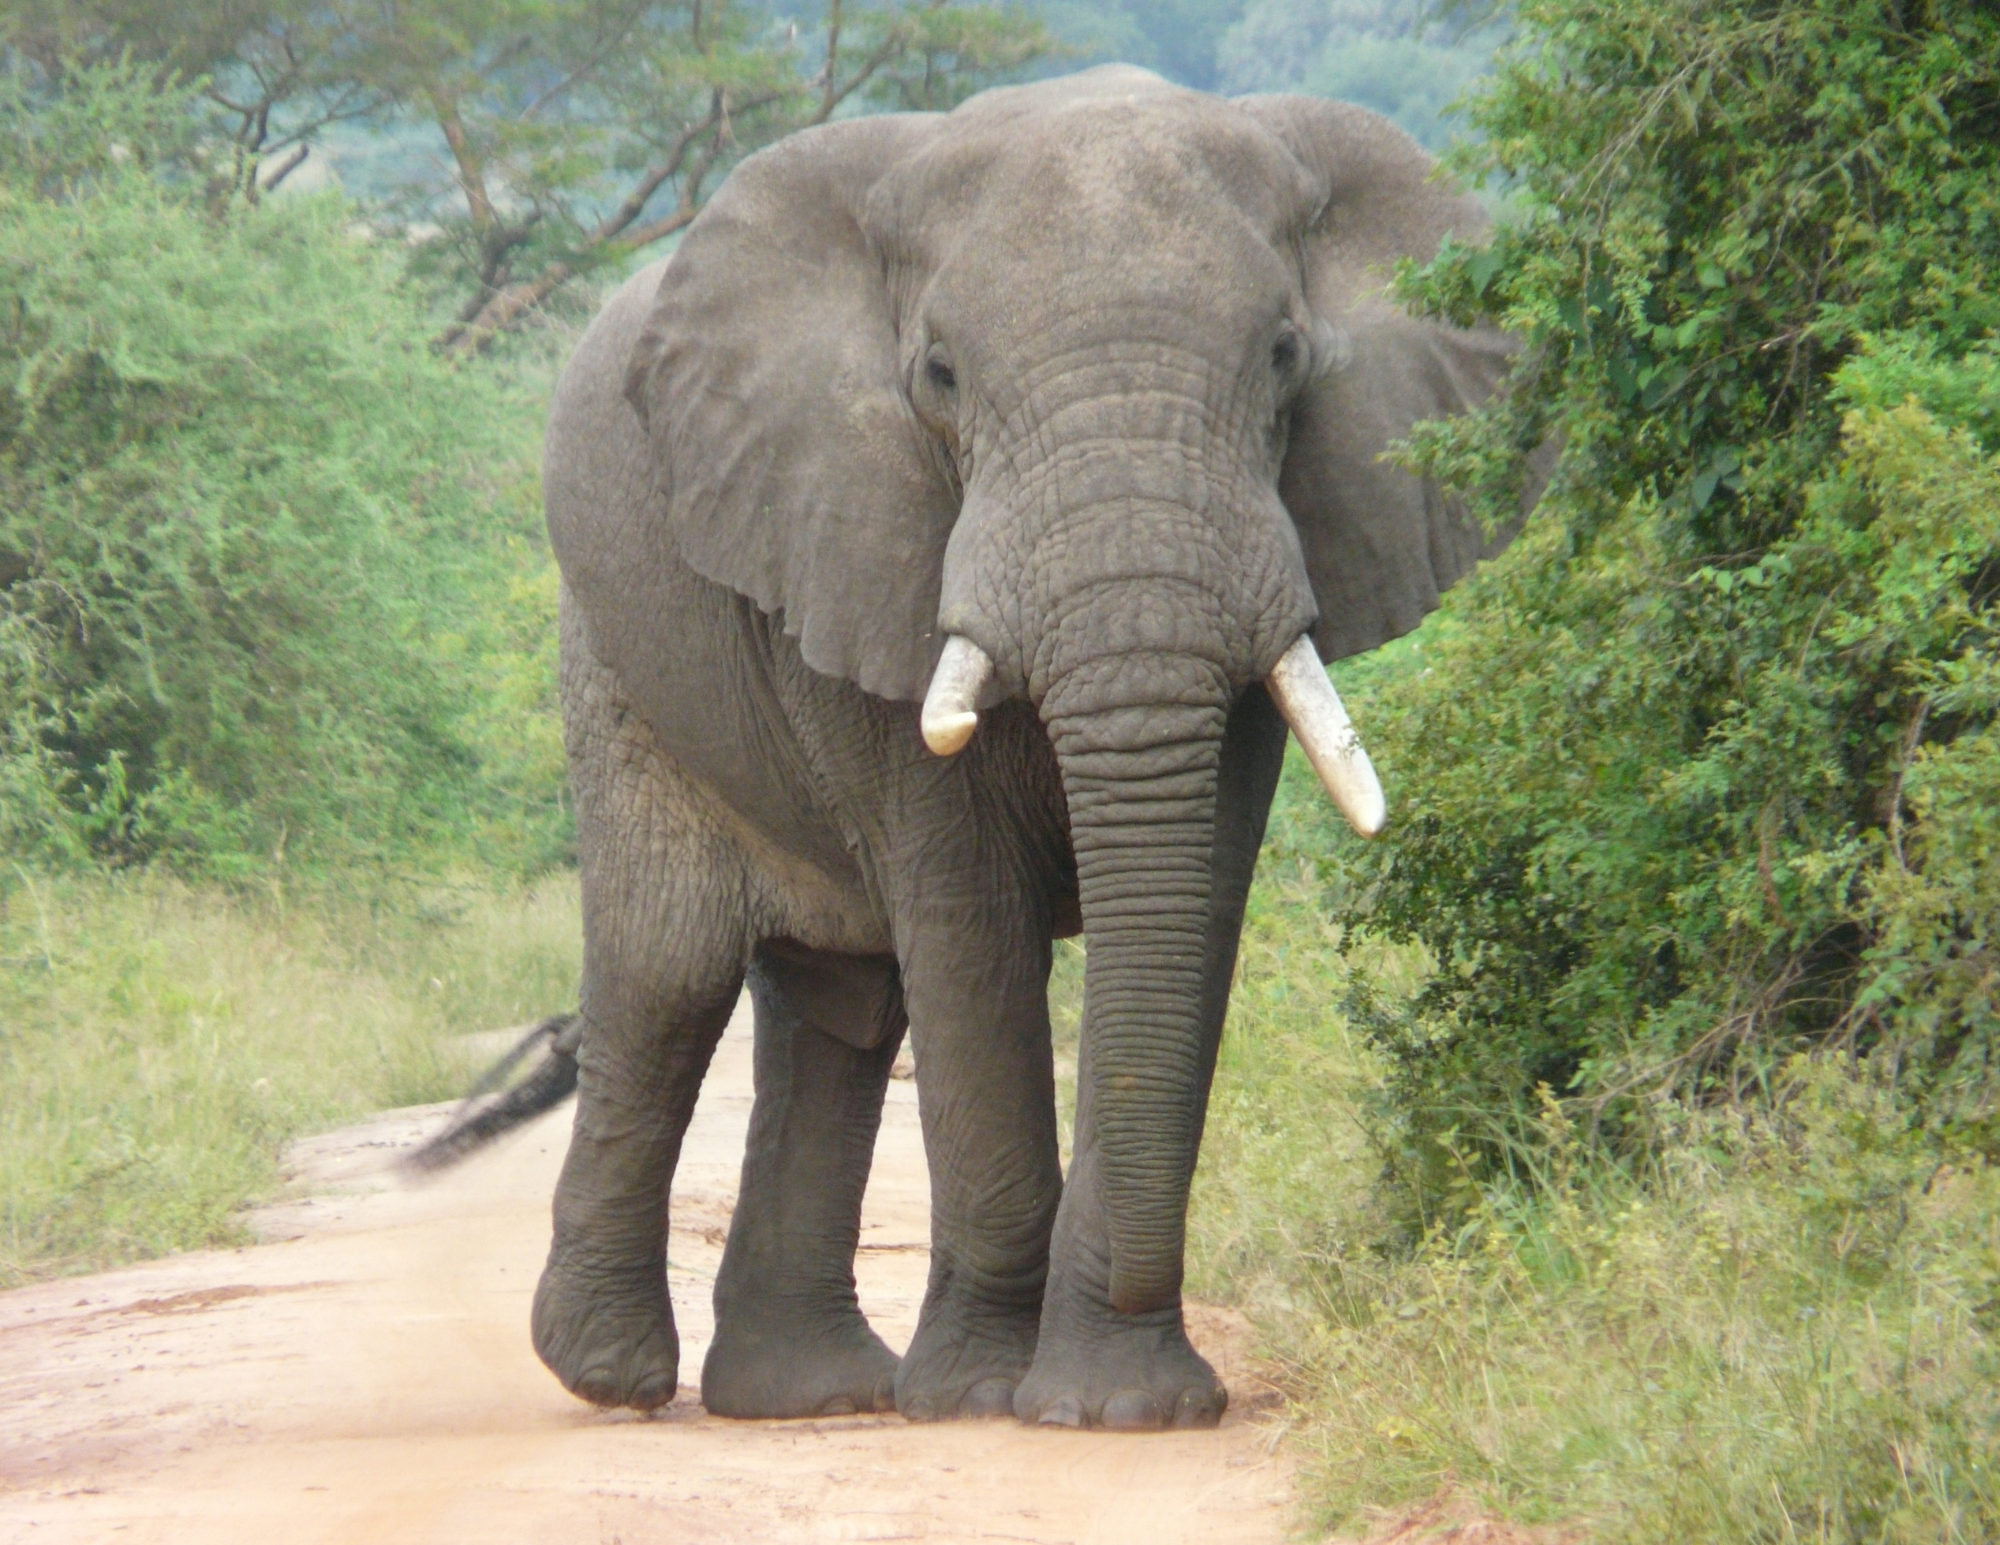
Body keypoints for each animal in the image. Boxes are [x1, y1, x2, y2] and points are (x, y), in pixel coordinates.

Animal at [532, 63, 1528, 1432]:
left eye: (1283, 358)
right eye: (939, 374)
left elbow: (1186, 912)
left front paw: (1119, 1406)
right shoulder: (861, 532)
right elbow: (967, 920)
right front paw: (980, 1397)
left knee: (839, 1004)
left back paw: (806, 1395)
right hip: (614, 647)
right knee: (669, 969)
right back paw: (613, 1377)